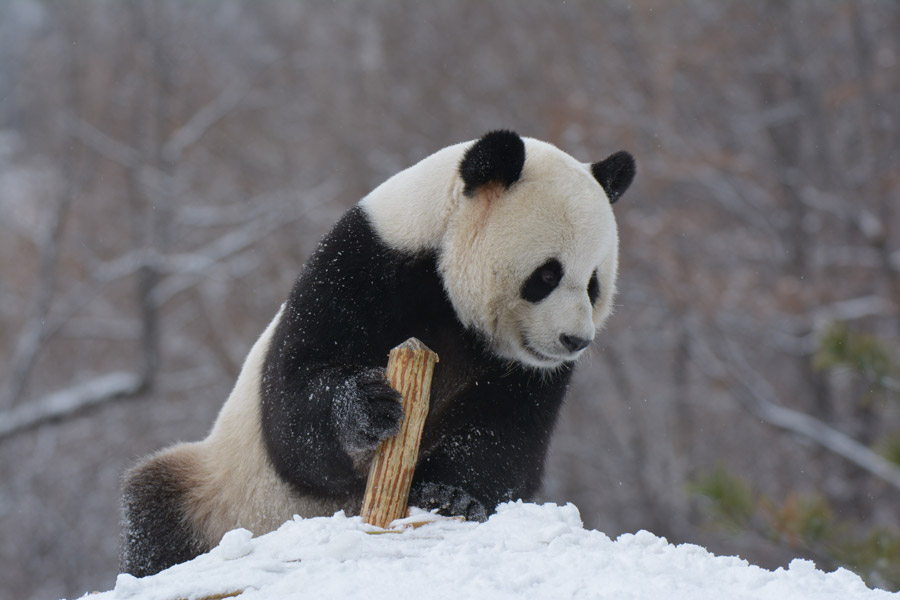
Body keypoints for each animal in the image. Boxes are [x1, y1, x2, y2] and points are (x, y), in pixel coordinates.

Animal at [119, 131, 636, 576]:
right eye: (546, 275)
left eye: (593, 285)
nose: (575, 341)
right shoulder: (361, 267)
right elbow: (293, 416)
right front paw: (367, 406)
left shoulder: (527, 370)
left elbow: (506, 433)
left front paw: (451, 496)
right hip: (219, 490)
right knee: (155, 509)